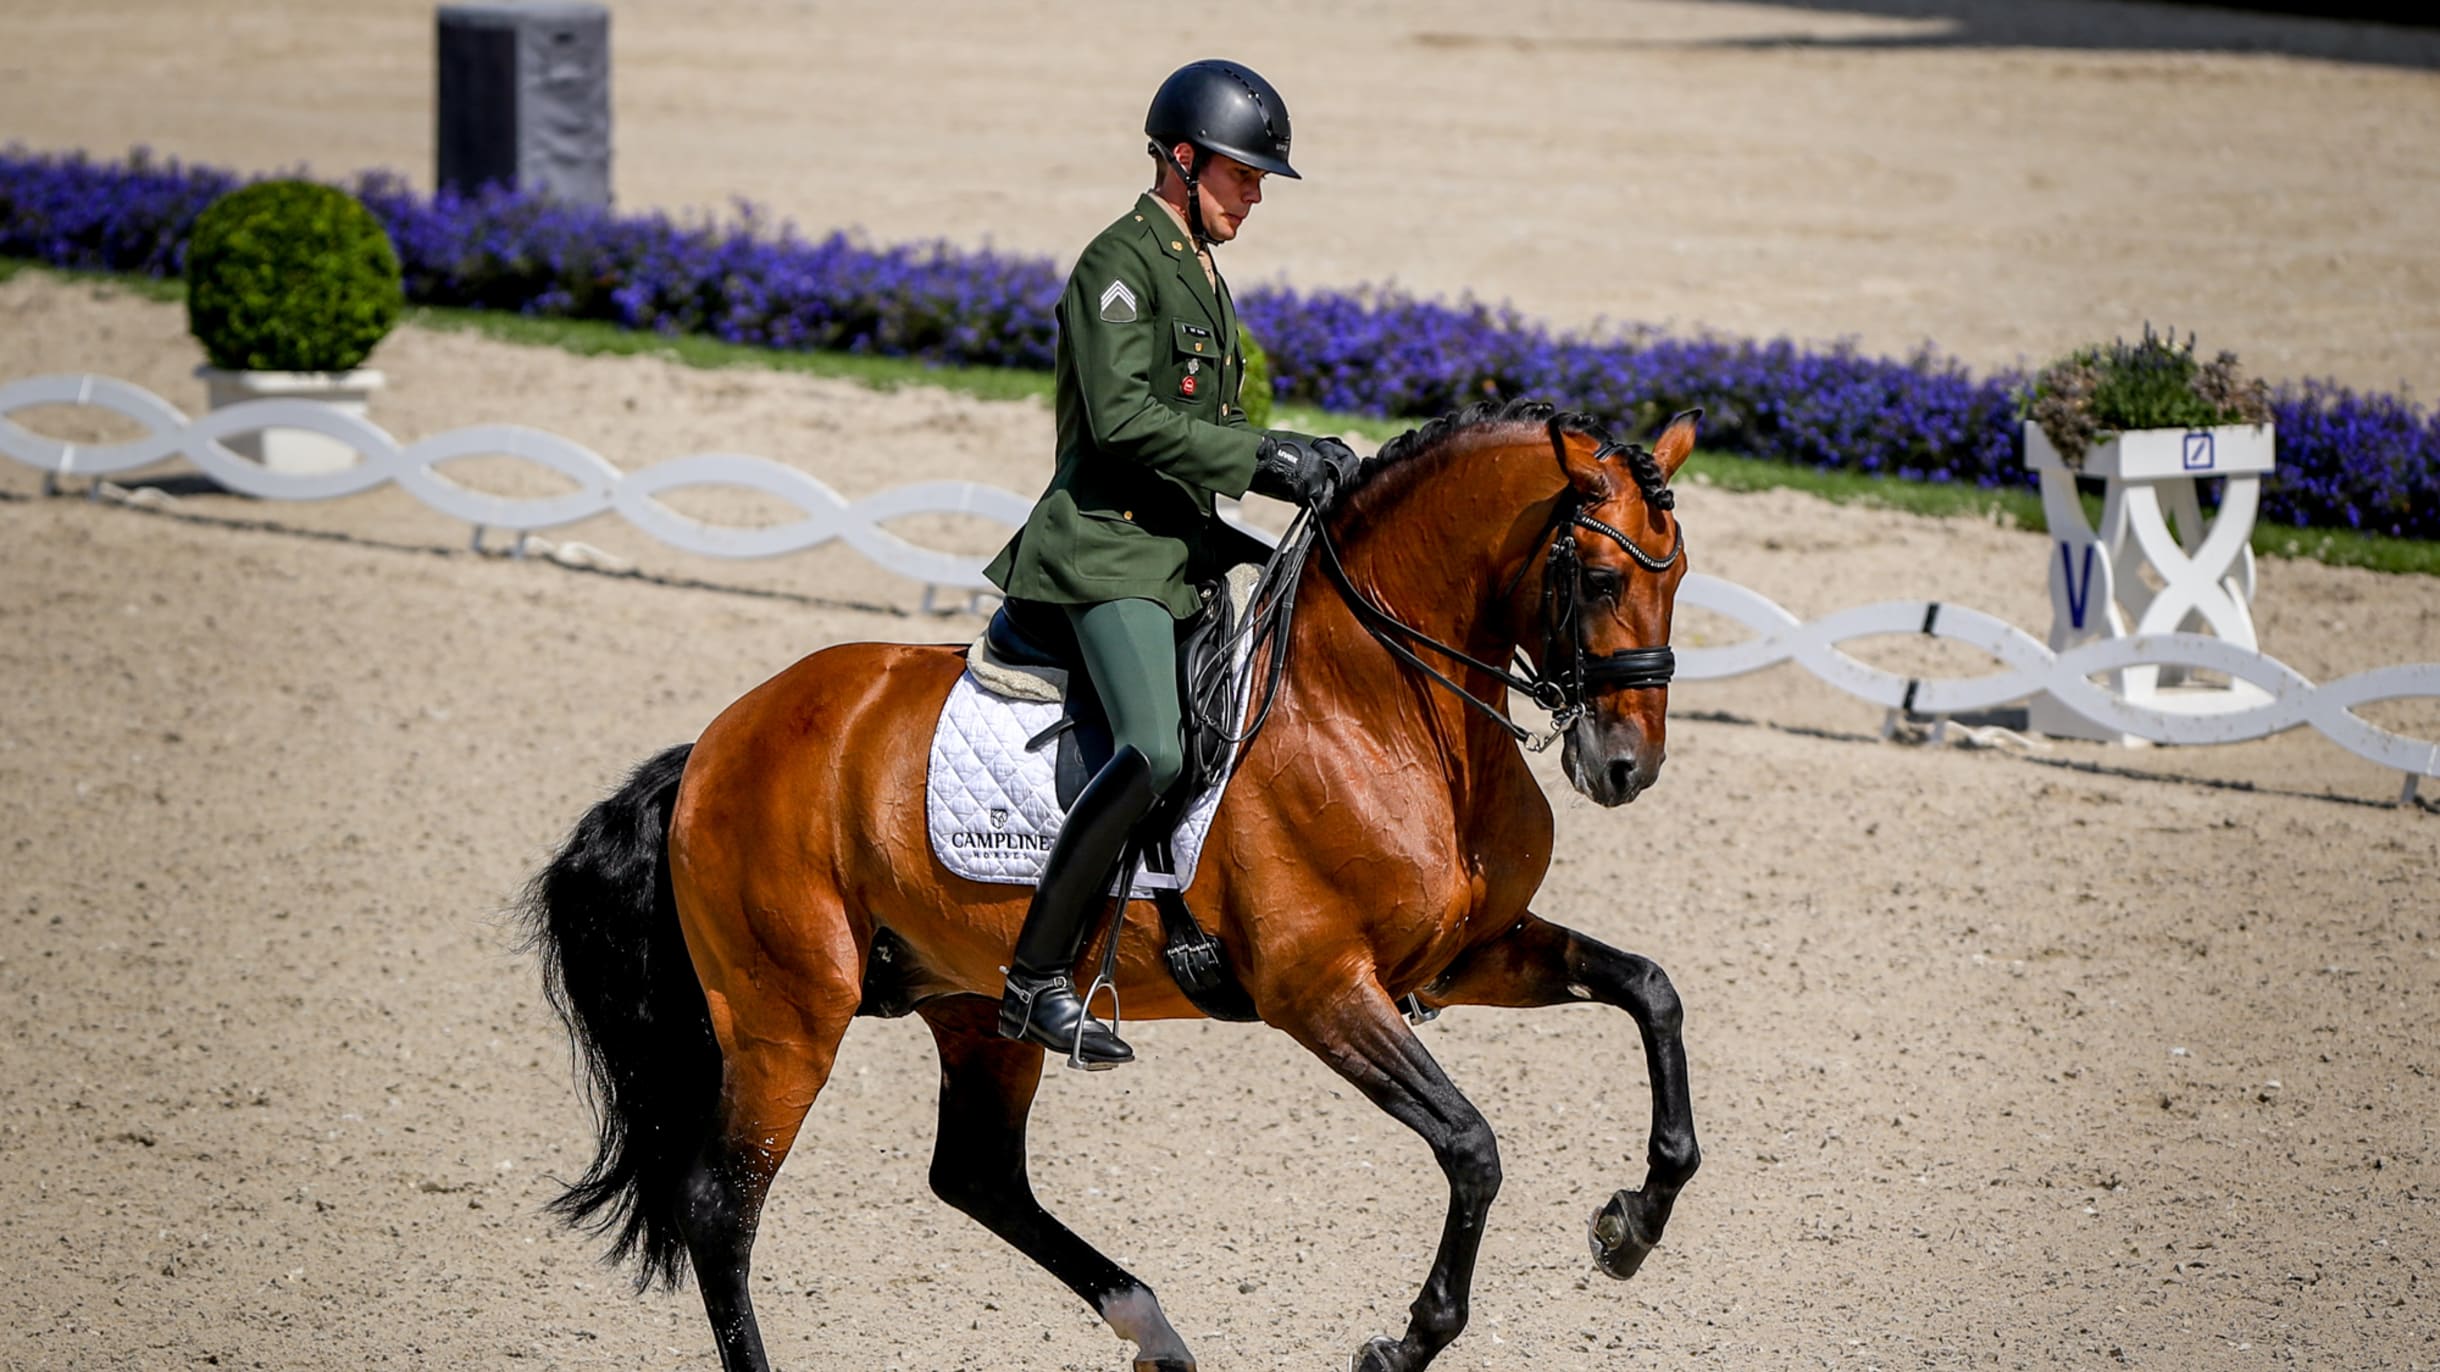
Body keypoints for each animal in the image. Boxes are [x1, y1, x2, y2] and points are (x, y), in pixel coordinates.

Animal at [519, 397, 1698, 1367]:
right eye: (1599, 580)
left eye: (1679, 579)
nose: (1626, 768)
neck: (1376, 707)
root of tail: (713, 748)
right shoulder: (1321, 990)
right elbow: (1471, 1147)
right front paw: (1405, 1341)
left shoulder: (1464, 956)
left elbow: (1650, 991)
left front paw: (1631, 1223)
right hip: (785, 1017)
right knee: (723, 1207)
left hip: (969, 1004)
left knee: (976, 1173)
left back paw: (1154, 1331)